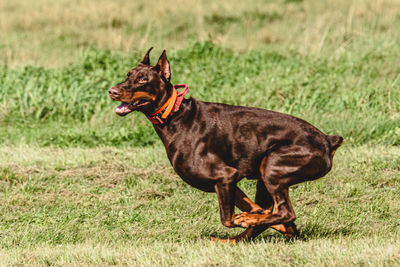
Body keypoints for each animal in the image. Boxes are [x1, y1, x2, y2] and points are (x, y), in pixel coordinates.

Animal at [109, 48, 344, 243]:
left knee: (286, 211)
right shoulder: (228, 182)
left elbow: (228, 218)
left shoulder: (225, 176)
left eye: (142, 79)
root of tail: (327, 140)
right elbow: (258, 211)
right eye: (128, 74)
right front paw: (277, 225)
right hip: (264, 175)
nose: (112, 91)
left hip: (273, 166)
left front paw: (248, 219)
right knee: (273, 214)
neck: (174, 114)